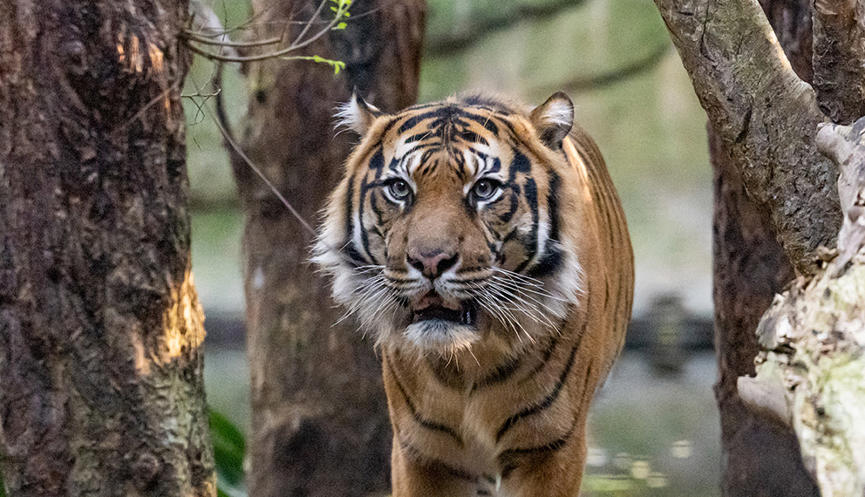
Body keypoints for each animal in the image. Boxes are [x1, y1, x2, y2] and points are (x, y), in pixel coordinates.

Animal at [313, 91, 634, 497]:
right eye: (399, 189)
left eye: (484, 189)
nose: (430, 261)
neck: (467, 361)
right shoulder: (422, 451)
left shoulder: (550, 448)